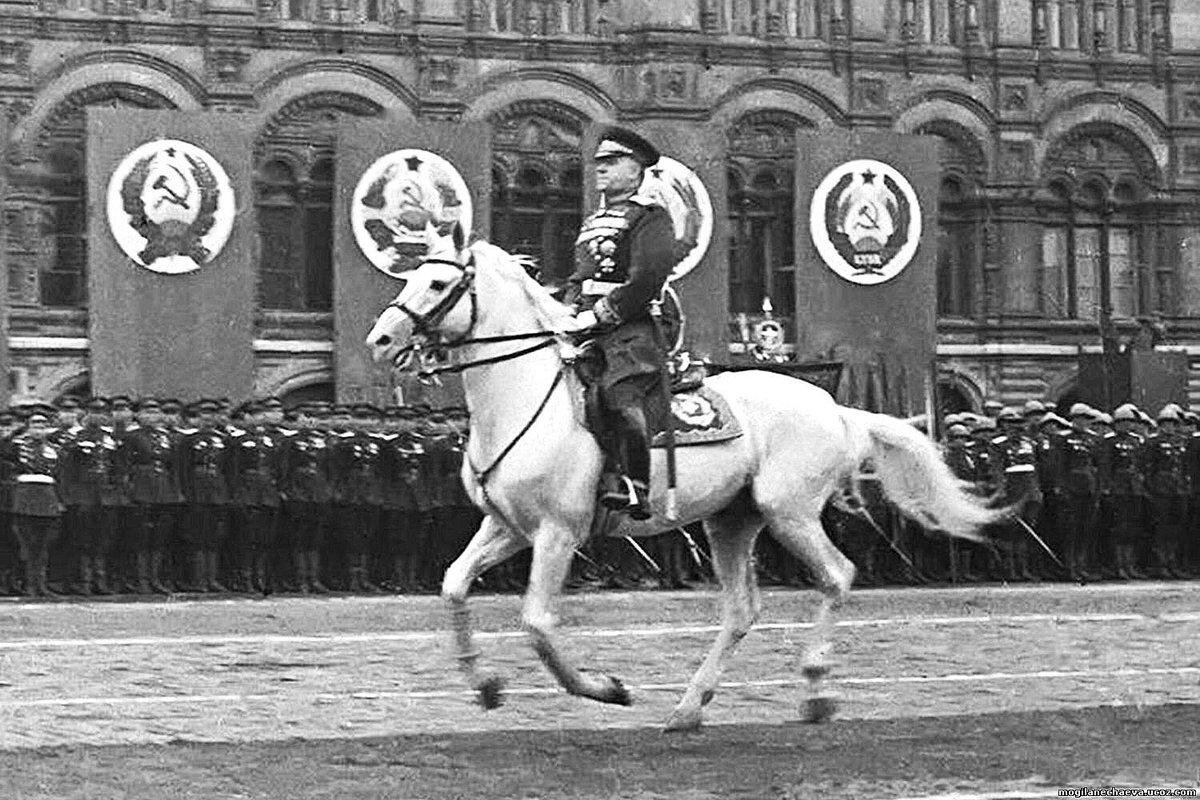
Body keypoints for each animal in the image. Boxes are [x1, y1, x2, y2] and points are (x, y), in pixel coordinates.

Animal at [364, 230, 1003, 734]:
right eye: (411, 273)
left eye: (437, 284)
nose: (380, 340)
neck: (523, 399)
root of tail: (835, 407)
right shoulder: (507, 527)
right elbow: (453, 585)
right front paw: (486, 685)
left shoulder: (557, 532)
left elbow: (538, 625)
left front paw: (605, 689)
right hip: (732, 520)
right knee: (742, 609)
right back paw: (690, 708)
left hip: (788, 511)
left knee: (837, 576)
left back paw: (815, 690)